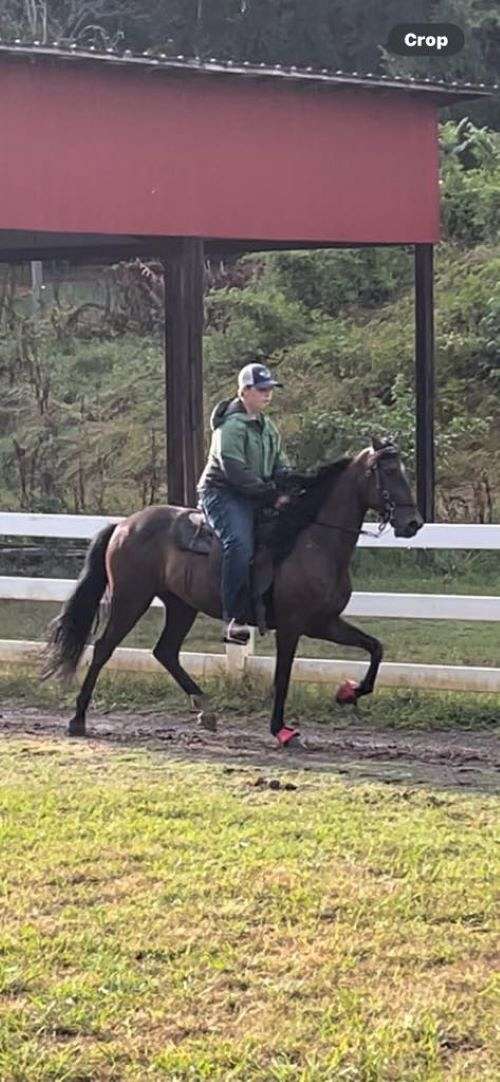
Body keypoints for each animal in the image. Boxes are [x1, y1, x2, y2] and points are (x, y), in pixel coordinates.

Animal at [43, 437, 422, 744]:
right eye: (389, 471)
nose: (413, 523)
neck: (309, 539)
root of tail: (124, 524)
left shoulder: (324, 623)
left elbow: (375, 648)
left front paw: (349, 693)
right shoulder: (292, 626)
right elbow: (282, 677)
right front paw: (281, 730)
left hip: (181, 606)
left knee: (165, 651)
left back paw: (205, 709)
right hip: (130, 599)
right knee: (104, 648)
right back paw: (78, 719)